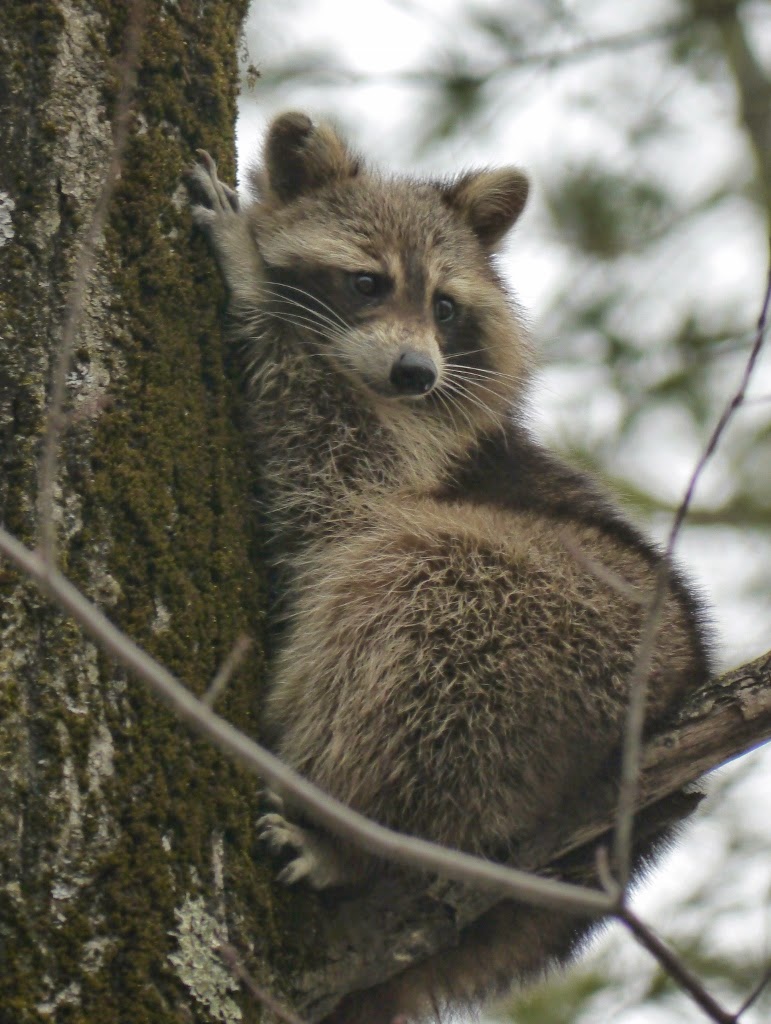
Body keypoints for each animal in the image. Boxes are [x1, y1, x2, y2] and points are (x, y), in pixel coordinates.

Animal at [186, 114, 708, 1024]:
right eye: (366, 282)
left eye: (443, 305)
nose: (415, 372)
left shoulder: (415, 453)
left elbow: (338, 478)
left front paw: (248, 278)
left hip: (577, 634)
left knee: (418, 579)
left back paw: (355, 834)